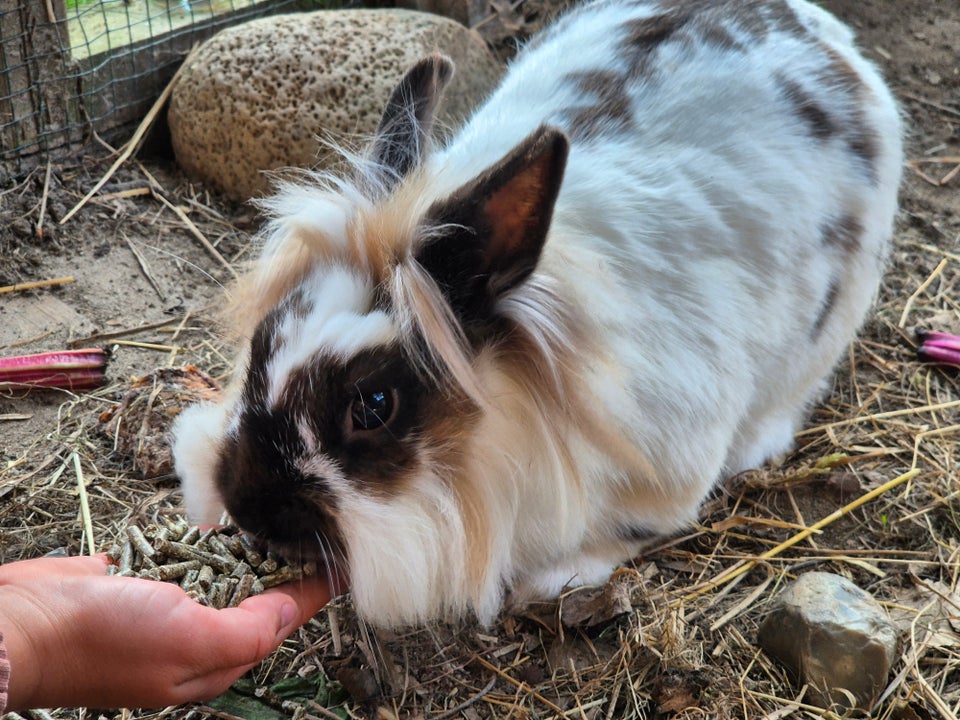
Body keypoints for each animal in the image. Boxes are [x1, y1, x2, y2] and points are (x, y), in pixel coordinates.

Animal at [172, 0, 900, 628]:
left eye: (373, 406)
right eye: (264, 340)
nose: (246, 505)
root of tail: (817, 26)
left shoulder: (672, 471)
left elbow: (632, 530)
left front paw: (547, 582)